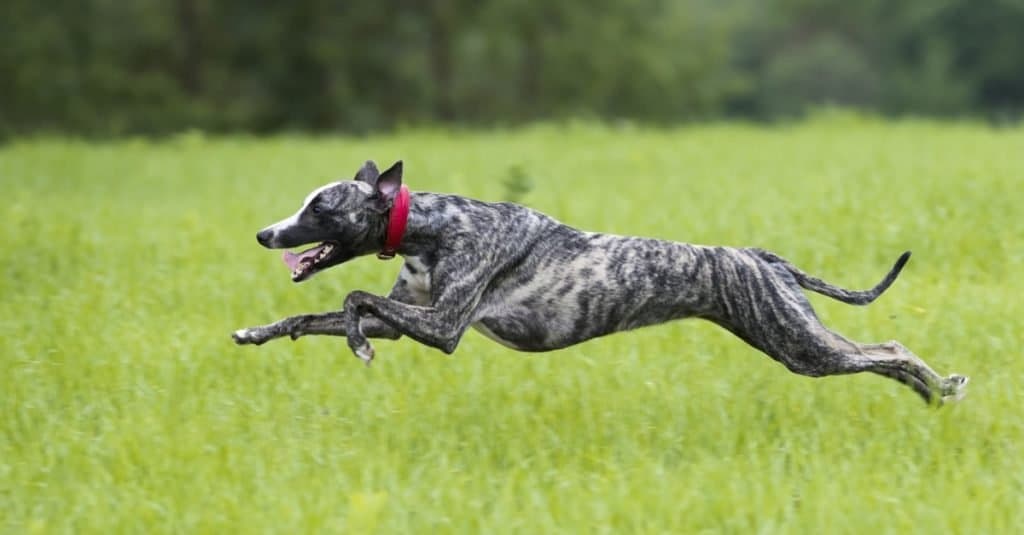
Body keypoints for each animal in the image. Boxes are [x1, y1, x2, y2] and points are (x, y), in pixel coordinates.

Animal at [232, 159, 966, 401]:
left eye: (320, 208)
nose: (265, 234)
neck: (431, 226)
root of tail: (764, 257)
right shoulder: (408, 315)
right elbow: (318, 314)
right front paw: (256, 331)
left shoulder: (442, 327)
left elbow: (352, 298)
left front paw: (358, 344)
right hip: (792, 337)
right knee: (880, 359)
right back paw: (931, 396)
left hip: (798, 344)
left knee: (889, 349)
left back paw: (942, 386)